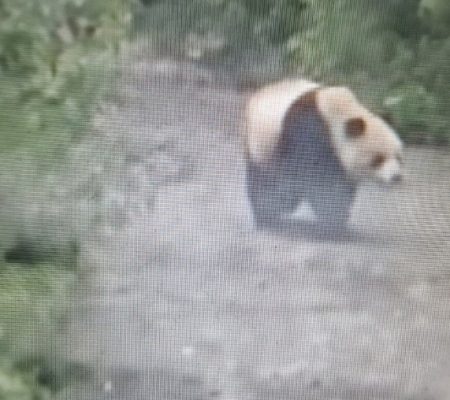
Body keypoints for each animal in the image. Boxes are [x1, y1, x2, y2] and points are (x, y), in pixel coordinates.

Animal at [243, 79, 404, 228]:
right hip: (260, 143)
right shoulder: (308, 132)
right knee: (263, 178)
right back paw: (266, 214)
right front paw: (334, 217)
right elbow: (310, 179)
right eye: (378, 159)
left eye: (398, 157)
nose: (396, 177)